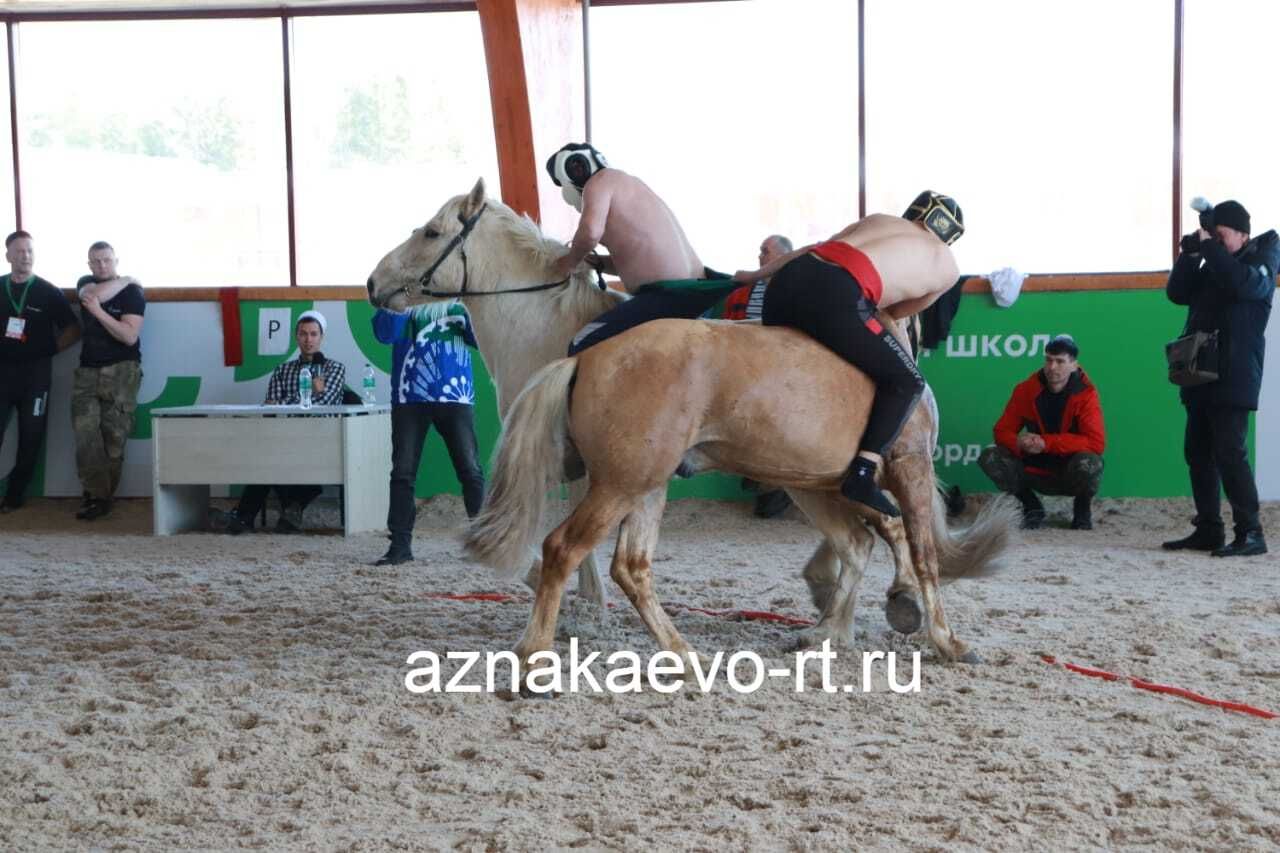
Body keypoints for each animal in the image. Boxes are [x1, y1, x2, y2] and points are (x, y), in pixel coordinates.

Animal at [366, 179, 1013, 653]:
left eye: (431, 231)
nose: (373, 283)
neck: (559, 328)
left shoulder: (586, 469)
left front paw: (583, 612)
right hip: (812, 476)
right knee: (872, 535)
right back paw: (844, 617)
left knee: (893, 534)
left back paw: (886, 610)